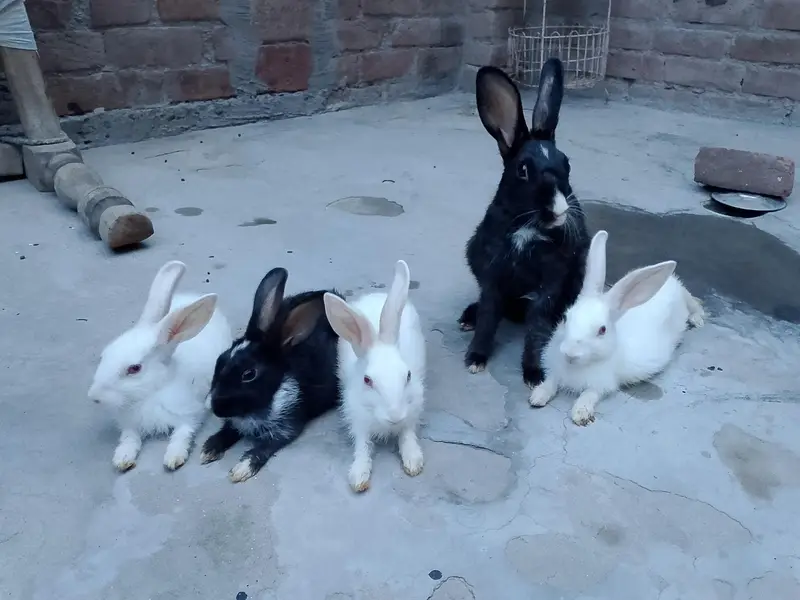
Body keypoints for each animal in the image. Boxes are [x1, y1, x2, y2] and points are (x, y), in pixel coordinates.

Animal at [88, 260, 233, 472]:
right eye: (104, 355)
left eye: (134, 368)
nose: (94, 397)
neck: (152, 393)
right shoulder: (131, 425)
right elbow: (129, 439)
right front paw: (122, 459)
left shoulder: (190, 415)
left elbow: (182, 434)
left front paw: (173, 458)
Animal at [200, 267, 341, 483]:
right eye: (220, 359)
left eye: (249, 374)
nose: (210, 405)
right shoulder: (235, 422)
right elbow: (227, 431)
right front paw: (208, 450)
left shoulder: (286, 428)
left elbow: (263, 448)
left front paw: (241, 470)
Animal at [323, 260, 426, 493]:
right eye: (367, 380)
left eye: (408, 375)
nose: (395, 416)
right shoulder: (357, 417)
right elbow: (362, 445)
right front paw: (358, 477)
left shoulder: (413, 407)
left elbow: (407, 433)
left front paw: (413, 461)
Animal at [460, 58, 590, 387]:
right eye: (523, 170)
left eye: (567, 163)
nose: (559, 210)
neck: (527, 228)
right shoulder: (492, 274)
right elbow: (488, 316)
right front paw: (475, 358)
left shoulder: (550, 283)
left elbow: (537, 330)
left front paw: (534, 373)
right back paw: (467, 317)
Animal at [528, 230, 705, 425]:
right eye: (565, 318)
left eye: (602, 330)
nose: (570, 354)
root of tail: (671, 282)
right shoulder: (555, 372)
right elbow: (550, 382)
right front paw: (537, 397)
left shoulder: (602, 384)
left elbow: (589, 394)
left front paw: (580, 413)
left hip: (684, 299)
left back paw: (698, 319)